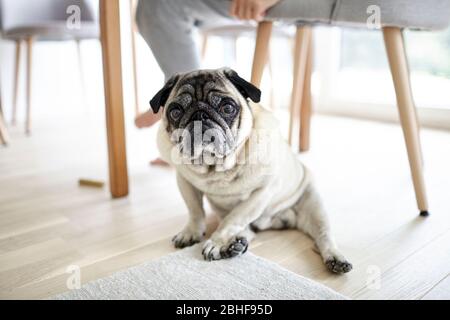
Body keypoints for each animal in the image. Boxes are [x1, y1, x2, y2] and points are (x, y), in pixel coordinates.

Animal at [151, 67, 352, 272]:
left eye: (228, 108)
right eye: (175, 112)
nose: (200, 116)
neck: (216, 168)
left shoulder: (262, 192)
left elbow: (234, 218)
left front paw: (217, 242)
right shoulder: (185, 183)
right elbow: (195, 211)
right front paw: (191, 232)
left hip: (314, 206)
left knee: (324, 234)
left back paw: (335, 257)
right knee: (247, 231)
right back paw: (234, 245)